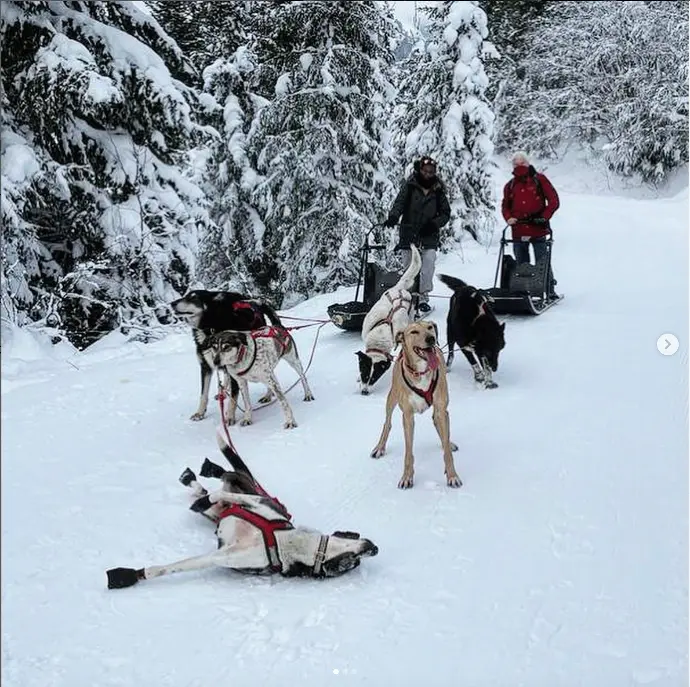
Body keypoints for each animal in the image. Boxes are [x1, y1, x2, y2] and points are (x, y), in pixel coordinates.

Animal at [169, 288, 282, 420]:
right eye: (186, 295)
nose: (172, 303)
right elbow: (203, 394)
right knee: (226, 376)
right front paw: (200, 413)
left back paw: (268, 395)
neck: (210, 327)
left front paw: (230, 417)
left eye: (193, 297)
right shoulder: (205, 366)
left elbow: (234, 395)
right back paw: (222, 391)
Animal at [358, 243, 422, 396]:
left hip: (411, 313)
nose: (364, 392)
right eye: (364, 375)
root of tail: (399, 288)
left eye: (374, 378)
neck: (382, 331)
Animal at [368, 322, 460, 490]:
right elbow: (408, 451)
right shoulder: (408, 417)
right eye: (414, 332)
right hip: (392, 397)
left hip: (442, 411)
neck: (421, 372)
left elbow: (446, 449)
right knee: (387, 423)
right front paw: (407, 477)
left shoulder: (441, 409)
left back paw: (448, 442)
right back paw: (380, 447)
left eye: (430, 327)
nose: (431, 339)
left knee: (440, 425)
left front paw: (452, 475)